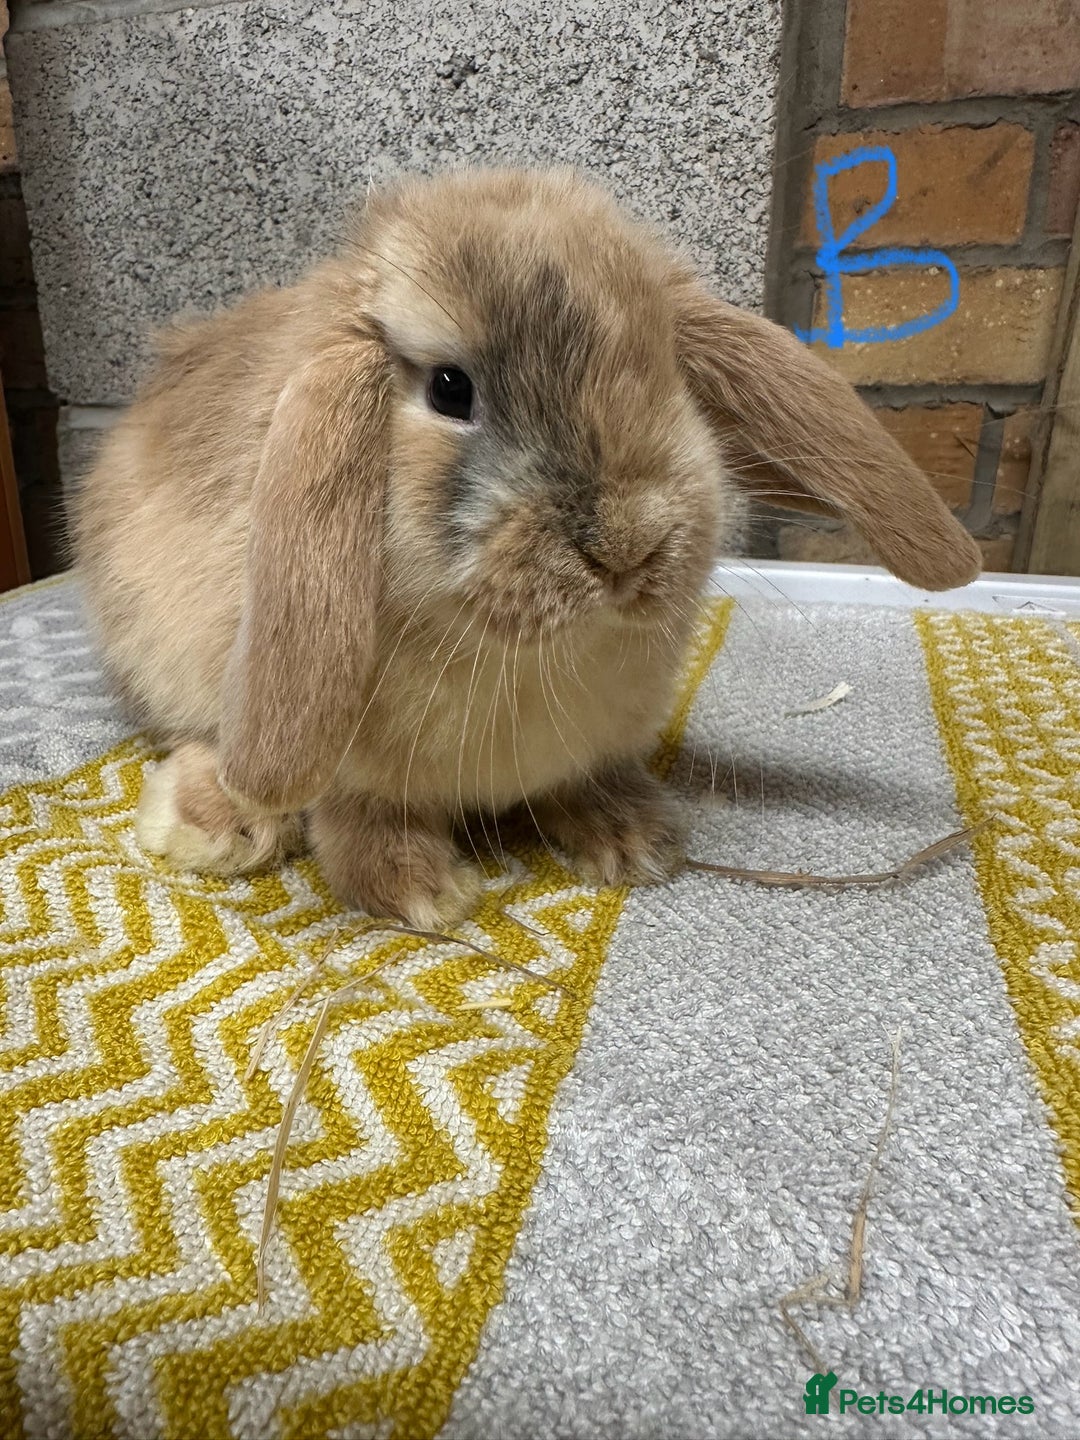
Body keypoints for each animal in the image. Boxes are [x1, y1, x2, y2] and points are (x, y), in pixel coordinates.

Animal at [72, 167, 981, 928]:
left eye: (664, 372)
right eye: (450, 389)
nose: (629, 546)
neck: (524, 651)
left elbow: (580, 783)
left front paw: (633, 841)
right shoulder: (350, 766)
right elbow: (355, 816)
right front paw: (422, 892)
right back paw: (214, 818)